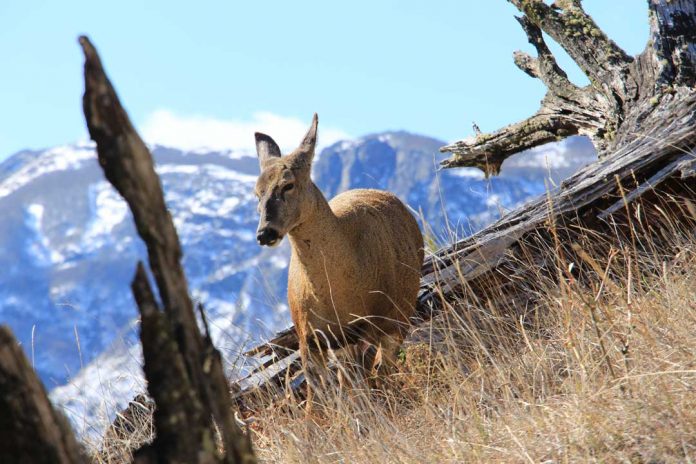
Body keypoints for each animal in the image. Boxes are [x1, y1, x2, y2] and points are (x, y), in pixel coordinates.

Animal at [253, 113, 422, 388]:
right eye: (257, 193)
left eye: (288, 184)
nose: (264, 233)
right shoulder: (308, 335)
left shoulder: (363, 327)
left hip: (399, 316)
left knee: (383, 368)